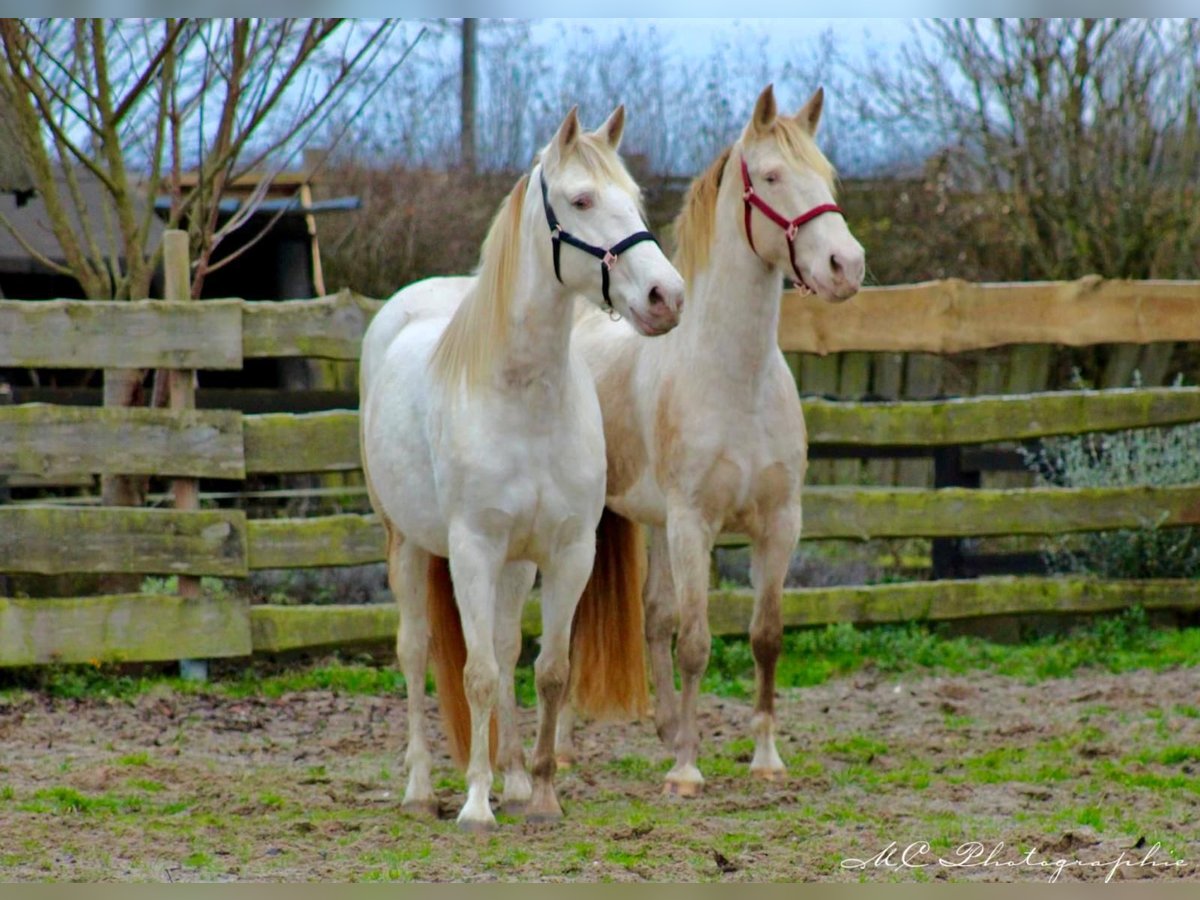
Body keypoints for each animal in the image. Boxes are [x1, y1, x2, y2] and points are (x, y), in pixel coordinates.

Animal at [357, 107, 686, 830]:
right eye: (581, 200)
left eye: (636, 198)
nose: (666, 296)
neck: (524, 400)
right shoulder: (473, 550)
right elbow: (475, 674)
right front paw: (476, 805)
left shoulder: (567, 553)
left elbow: (548, 670)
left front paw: (539, 794)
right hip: (408, 544)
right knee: (416, 651)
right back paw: (422, 788)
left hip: (514, 565)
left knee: (507, 649)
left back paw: (507, 777)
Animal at [561, 86, 864, 796]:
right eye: (773, 176)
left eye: (828, 175)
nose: (847, 266)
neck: (735, 379)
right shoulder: (694, 523)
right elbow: (697, 643)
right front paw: (687, 771)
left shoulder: (779, 523)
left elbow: (765, 636)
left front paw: (765, 759)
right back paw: (561, 754)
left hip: (651, 523)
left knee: (652, 618)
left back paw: (668, 729)